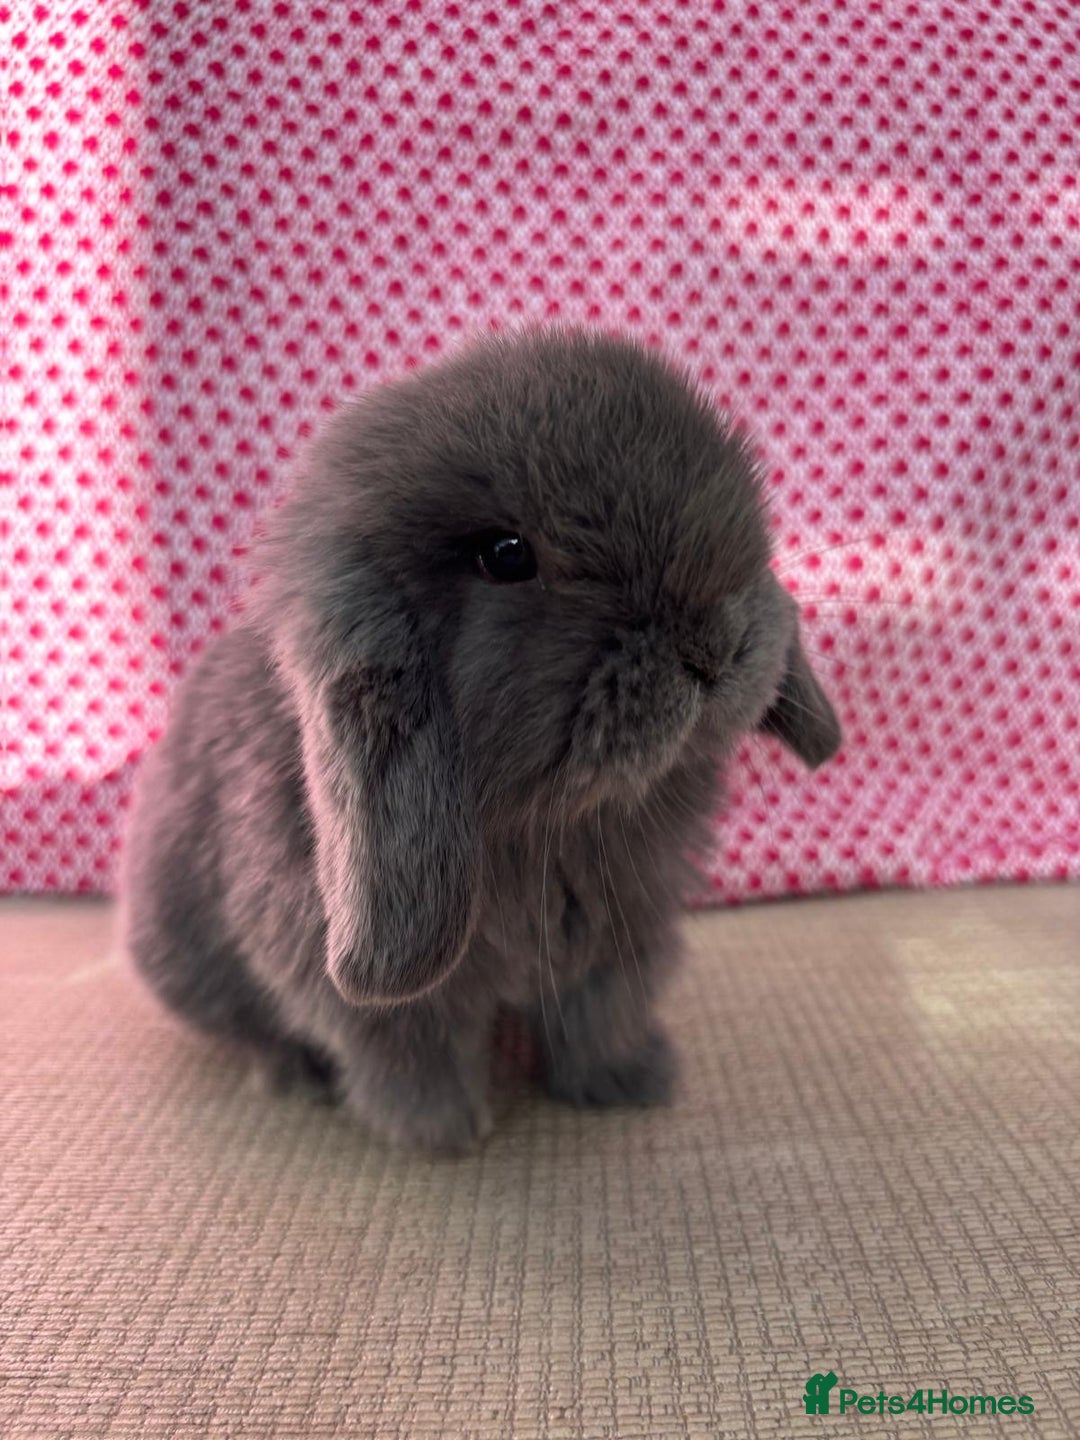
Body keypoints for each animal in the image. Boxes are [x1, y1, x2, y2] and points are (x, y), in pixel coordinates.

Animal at [120, 325, 841, 1154]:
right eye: (506, 554)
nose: (714, 649)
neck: (555, 824)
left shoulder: (622, 934)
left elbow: (601, 1016)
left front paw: (632, 1082)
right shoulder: (350, 980)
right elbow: (406, 1046)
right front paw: (445, 1133)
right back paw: (295, 1078)